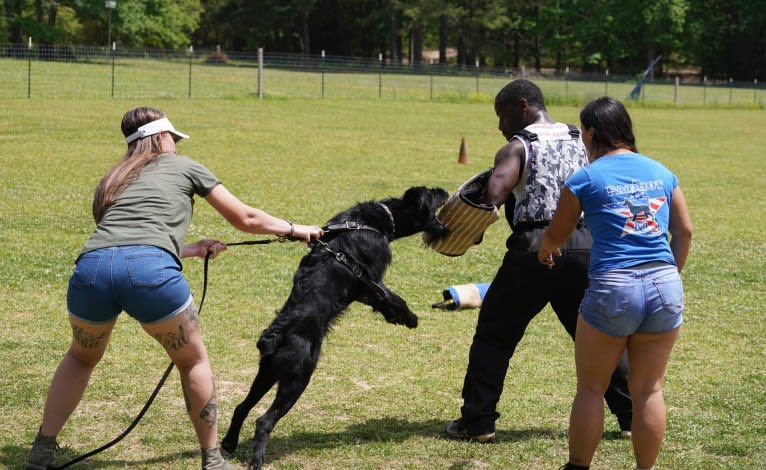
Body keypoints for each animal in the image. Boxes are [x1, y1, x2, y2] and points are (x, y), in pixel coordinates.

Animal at [220, 185, 450, 468]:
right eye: (432, 193)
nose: (444, 190)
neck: (377, 220)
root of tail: (275, 335)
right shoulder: (371, 284)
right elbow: (393, 298)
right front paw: (408, 317)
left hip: (267, 373)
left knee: (241, 407)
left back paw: (229, 444)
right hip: (297, 378)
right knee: (264, 421)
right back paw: (257, 460)